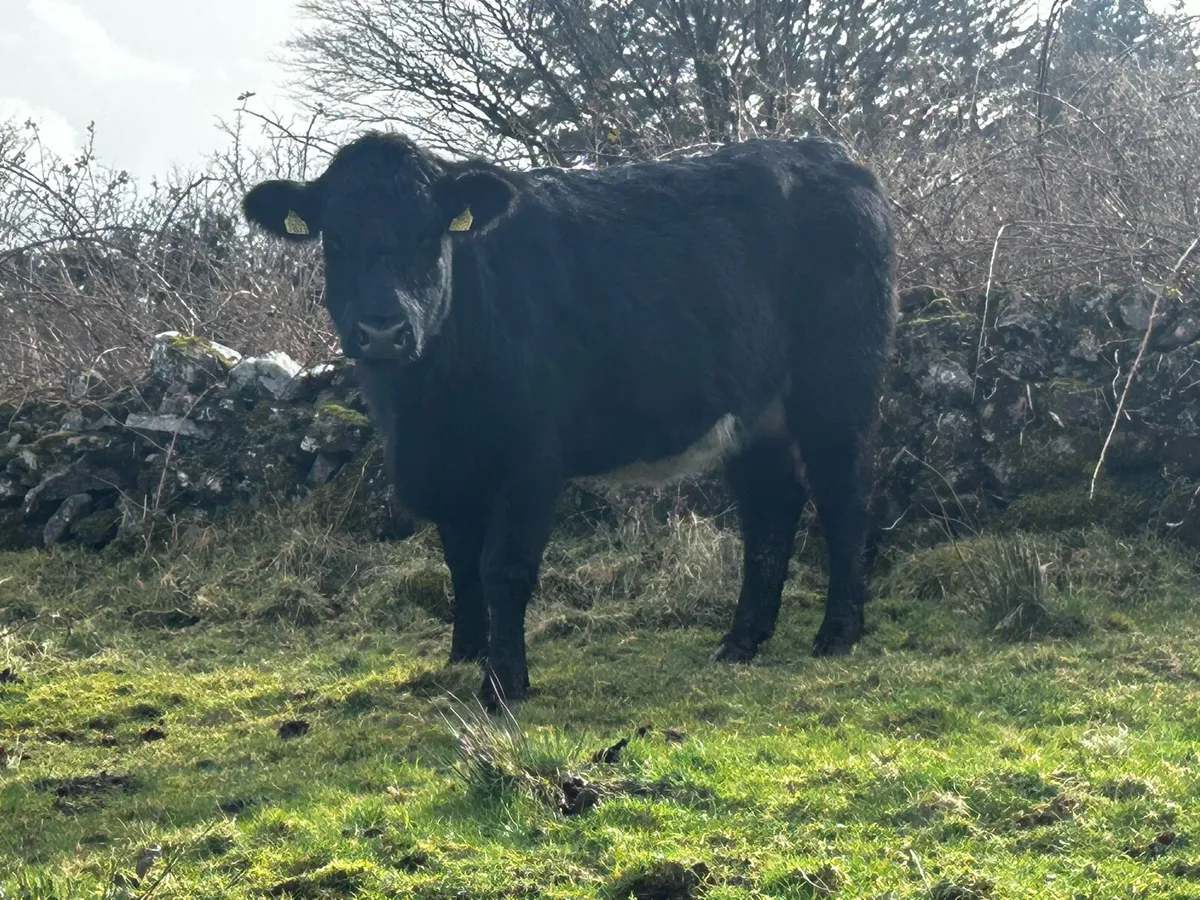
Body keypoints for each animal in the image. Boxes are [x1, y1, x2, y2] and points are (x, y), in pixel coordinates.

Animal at [242, 131, 897, 708]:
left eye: (430, 234)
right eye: (335, 238)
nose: (382, 330)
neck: (423, 407)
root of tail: (834, 157)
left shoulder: (530, 457)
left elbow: (502, 568)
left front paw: (503, 685)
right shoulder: (447, 465)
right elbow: (460, 565)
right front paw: (465, 654)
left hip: (836, 385)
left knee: (844, 498)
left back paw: (837, 632)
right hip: (756, 409)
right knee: (772, 509)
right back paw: (740, 641)